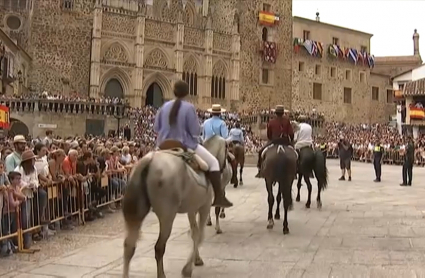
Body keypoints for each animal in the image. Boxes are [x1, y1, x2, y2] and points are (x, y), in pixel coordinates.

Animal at [121, 141, 215, 278]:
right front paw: (188, 269)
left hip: (136, 214)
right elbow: (199, 235)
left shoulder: (192, 208)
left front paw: (196, 260)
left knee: (129, 246)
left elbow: (194, 232)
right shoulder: (205, 206)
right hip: (167, 215)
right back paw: (162, 274)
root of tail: (149, 160)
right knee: (159, 247)